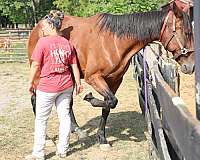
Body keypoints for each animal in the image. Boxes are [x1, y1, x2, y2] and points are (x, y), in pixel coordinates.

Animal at [28, 1, 194, 149]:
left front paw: (102, 139)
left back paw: (77, 130)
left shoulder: (115, 80)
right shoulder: (93, 78)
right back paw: (48, 139)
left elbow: (108, 105)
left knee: (68, 103)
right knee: (36, 99)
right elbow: (111, 101)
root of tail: (38, 27)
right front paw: (89, 98)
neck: (113, 41)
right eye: (187, 33)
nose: (191, 66)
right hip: (39, 73)